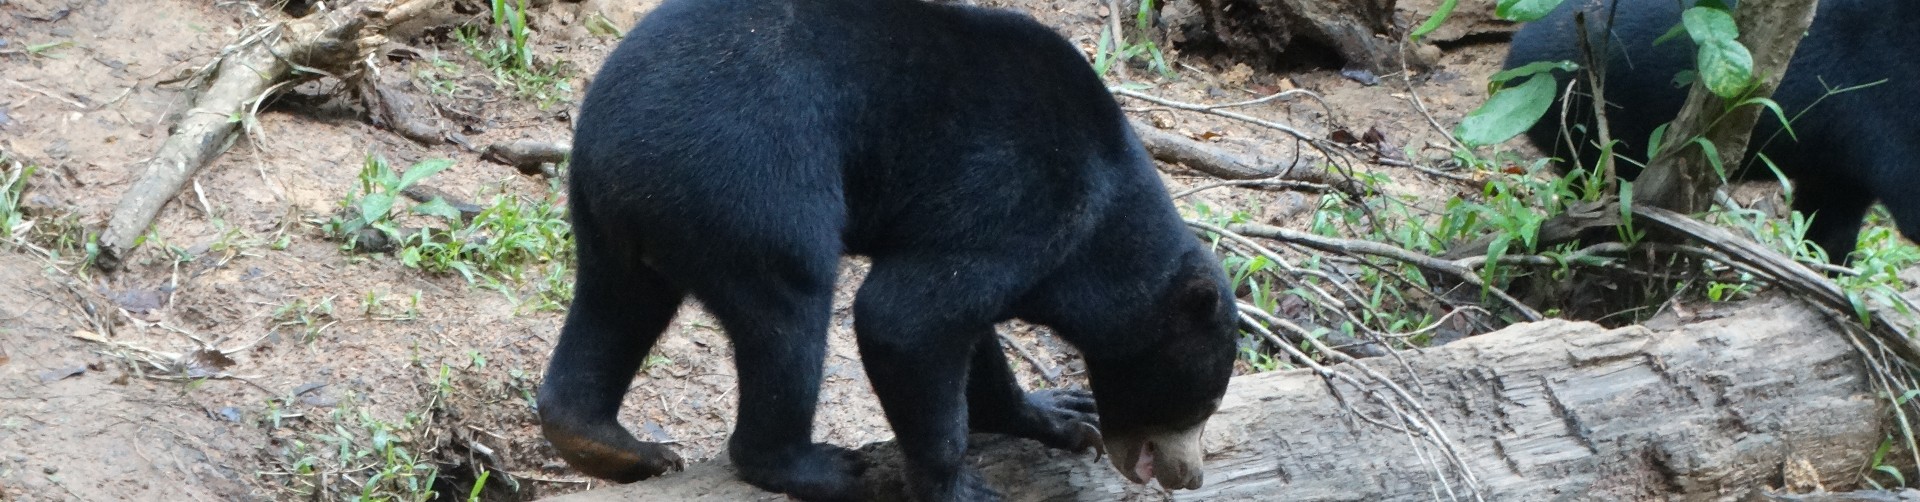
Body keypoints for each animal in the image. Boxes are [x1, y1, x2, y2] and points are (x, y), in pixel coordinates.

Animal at [535, 0, 1241, 500]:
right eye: (1204, 404)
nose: (1190, 476)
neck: (1103, 225)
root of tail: (615, 142)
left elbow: (970, 338)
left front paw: (1064, 412)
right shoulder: (1023, 199)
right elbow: (905, 319)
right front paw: (961, 489)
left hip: (616, 219)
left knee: (615, 306)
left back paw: (609, 444)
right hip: (750, 183)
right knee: (790, 308)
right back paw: (821, 468)